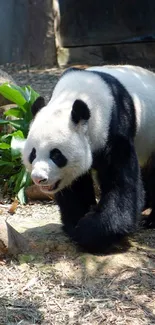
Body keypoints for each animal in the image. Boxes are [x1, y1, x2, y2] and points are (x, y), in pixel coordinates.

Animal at [22, 65, 155, 253]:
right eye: (33, 154)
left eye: (56, 155)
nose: (39, 178)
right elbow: (75, 187)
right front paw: (76, 222)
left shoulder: (115, 128)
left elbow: (121, 185)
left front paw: (90, 231)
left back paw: (151, 219)